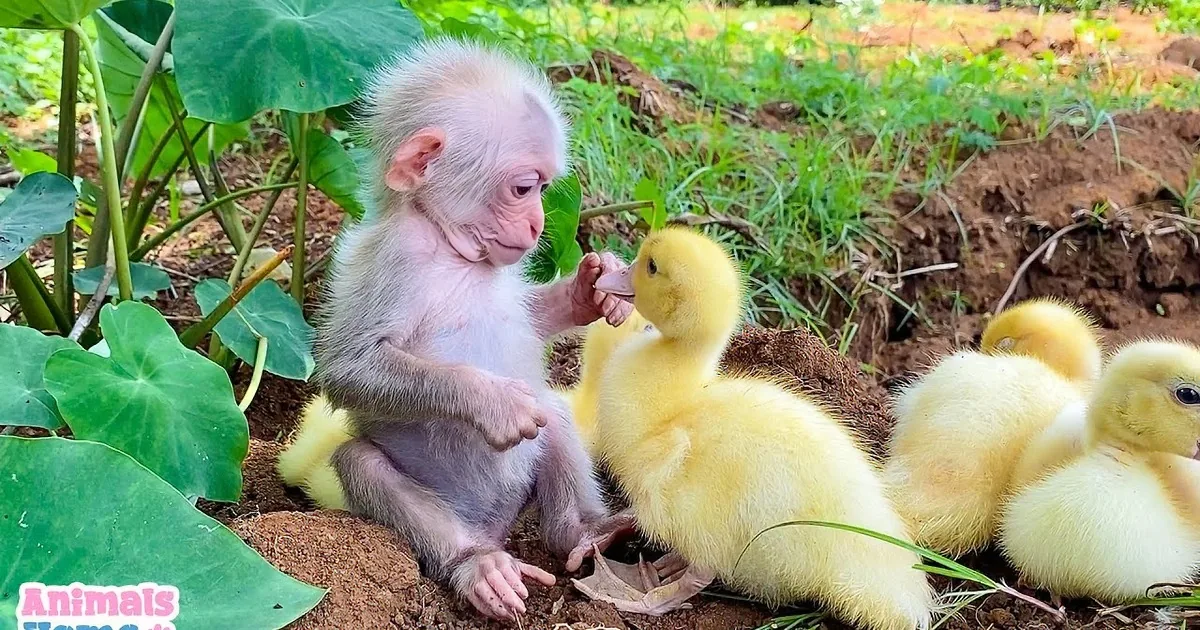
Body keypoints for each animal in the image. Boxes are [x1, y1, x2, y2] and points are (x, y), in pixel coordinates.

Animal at [312, 38, 636, 622]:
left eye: (546, 190)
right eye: (524, 188)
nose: (537, 224)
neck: (450, 247)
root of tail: (493, 523)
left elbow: (531, 321)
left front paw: (590, 291)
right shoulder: (394, 260)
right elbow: (348, 369)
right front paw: (492, 402)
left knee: (552, 413)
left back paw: (585, 532)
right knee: (361, 462)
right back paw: (478, 566)